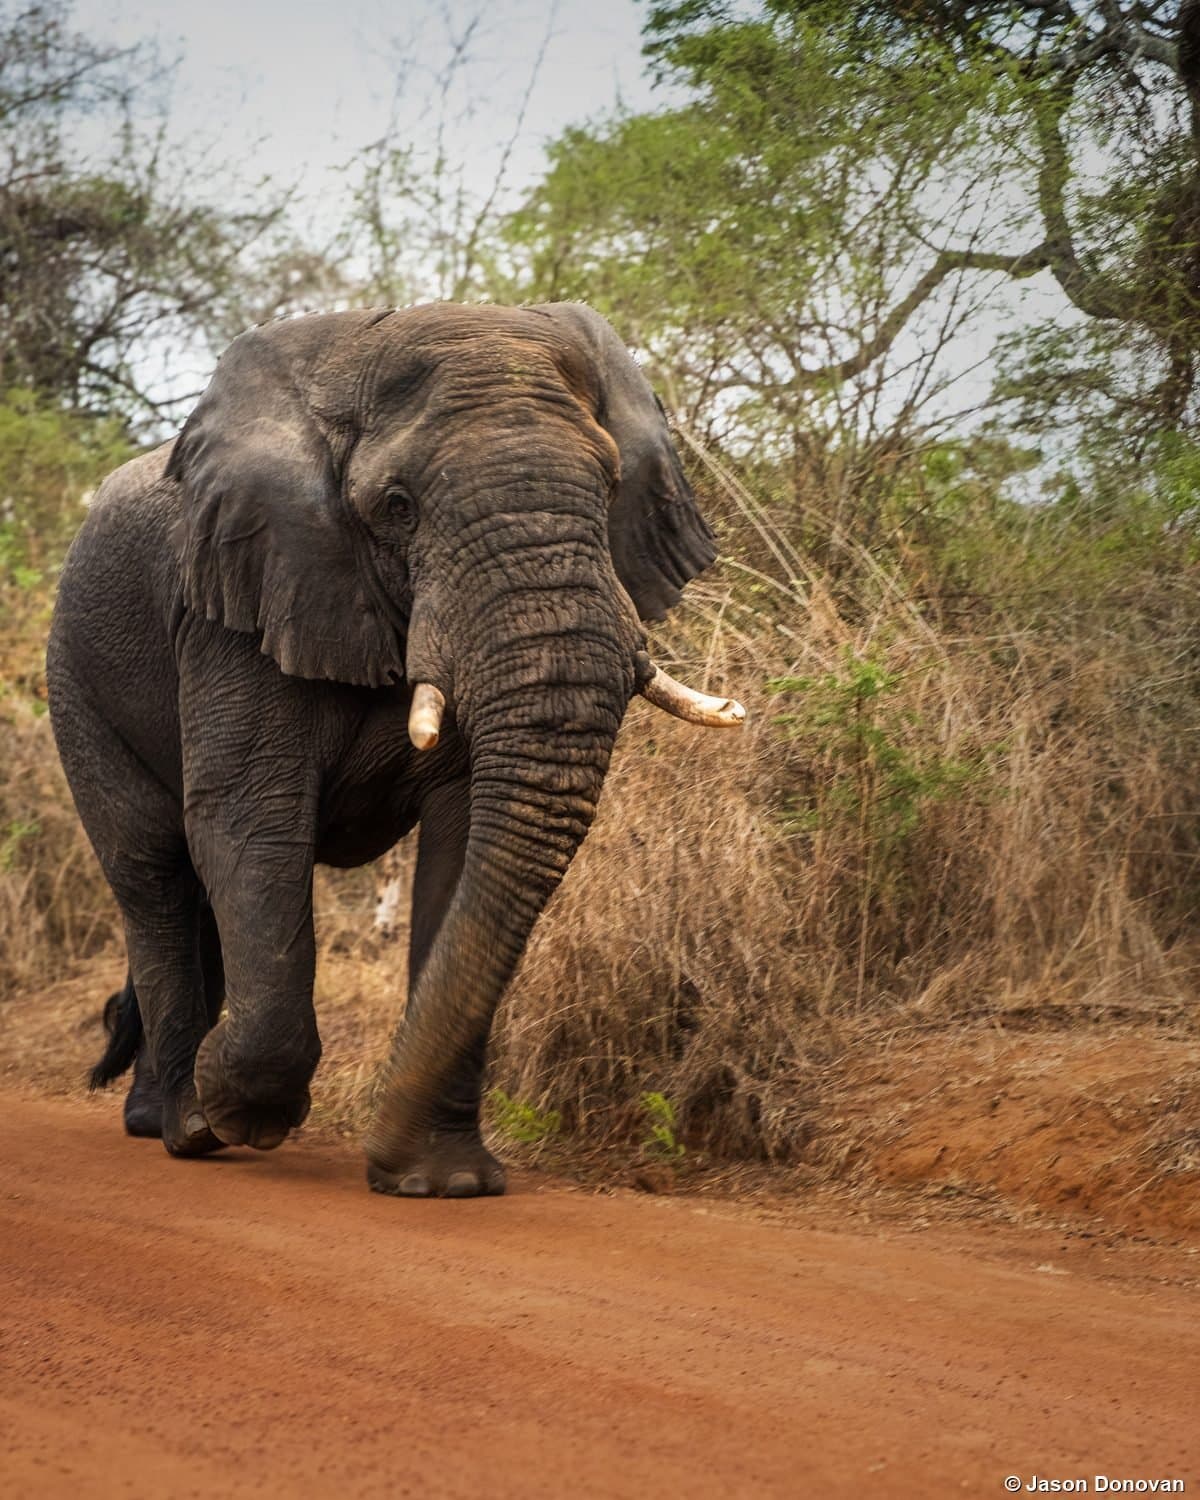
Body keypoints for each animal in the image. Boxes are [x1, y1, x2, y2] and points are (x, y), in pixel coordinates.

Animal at [47, 301, 744, 1198]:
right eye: (398, 506)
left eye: (609, 484)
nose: (375, 1152)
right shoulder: (237, 603)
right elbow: (249, 819)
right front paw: (240, 1113)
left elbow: (465, 840)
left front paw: (443, 1184)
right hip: (76, 682)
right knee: (154, 871)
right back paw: (184, 1124)